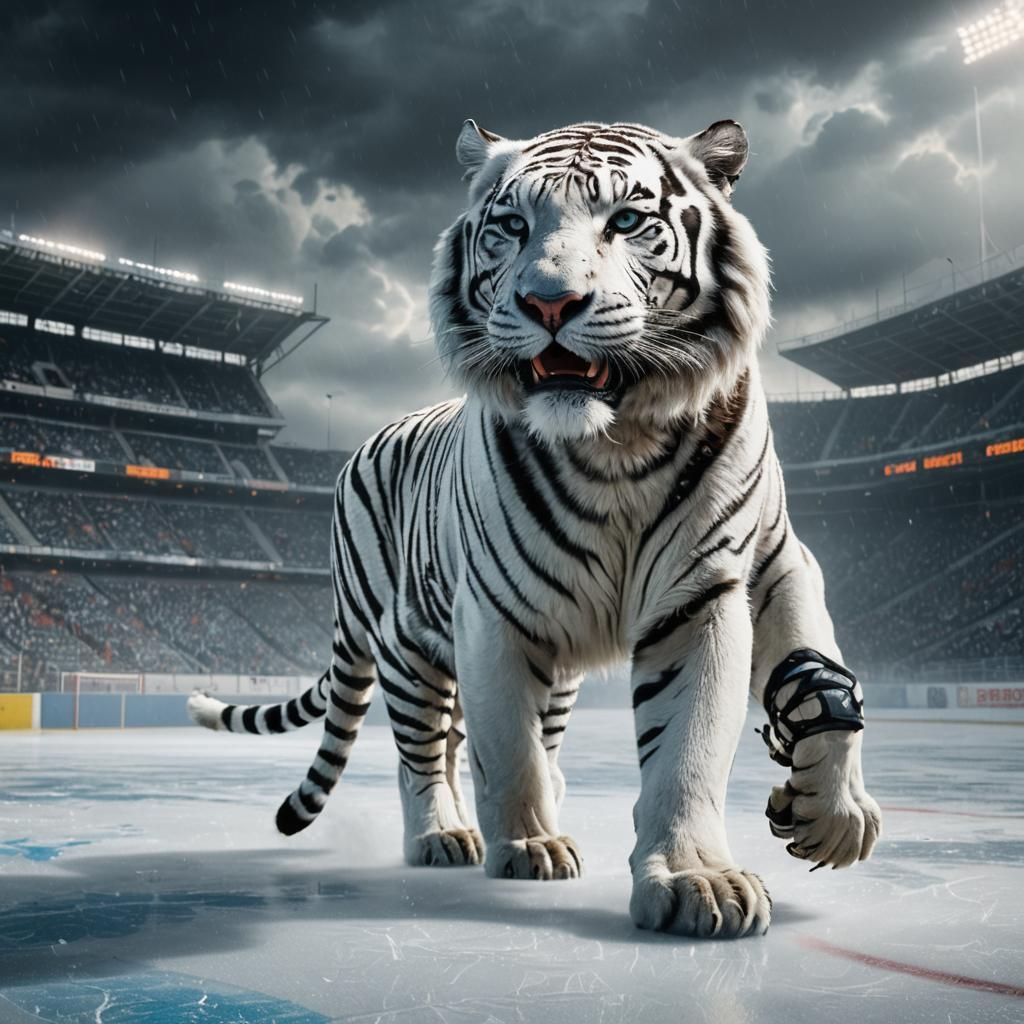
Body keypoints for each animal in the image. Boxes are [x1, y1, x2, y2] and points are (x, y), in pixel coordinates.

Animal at [189, 117, 882, 939]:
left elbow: (723, 722)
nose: (550, 304)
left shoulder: (731, 579)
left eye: (627, 221)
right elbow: (507, 746)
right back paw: (444, 834)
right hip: (408, 644)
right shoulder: (494, 613)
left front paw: (779, 838)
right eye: (513, 226)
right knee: (425, 750)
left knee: (481, 739)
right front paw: (528, 844)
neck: (618, 443)